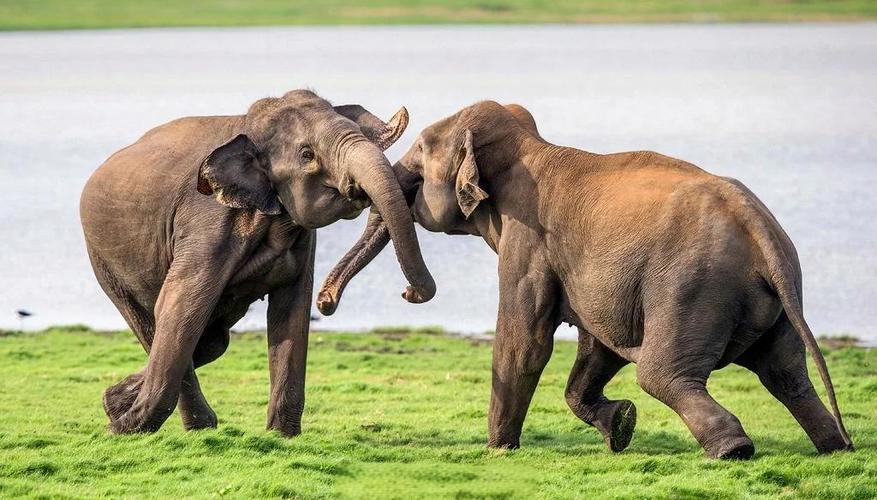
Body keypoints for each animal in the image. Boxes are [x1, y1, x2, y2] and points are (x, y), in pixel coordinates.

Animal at [79, 89, 435, 436]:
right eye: (307, 155)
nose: (408, 293)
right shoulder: (205, 225)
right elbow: (180, 305)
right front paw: (121, 431)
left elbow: (291, 311)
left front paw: (281, 435)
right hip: (106, 263)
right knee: (158, 324)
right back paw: (169, 422)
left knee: (212, 342)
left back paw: (117, 403)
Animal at [316, 101, 854, 459]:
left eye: (422, 150)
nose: (325, 303)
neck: (531, 146)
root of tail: (758, 226)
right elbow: (598, 346)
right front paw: (621, 426)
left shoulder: (528, 239)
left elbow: (525, 342)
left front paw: (498, 450)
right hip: (772, 298)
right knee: (786, 374)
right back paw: (834, 446)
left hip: (693, 289)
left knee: (662, 373)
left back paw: (733, 450)